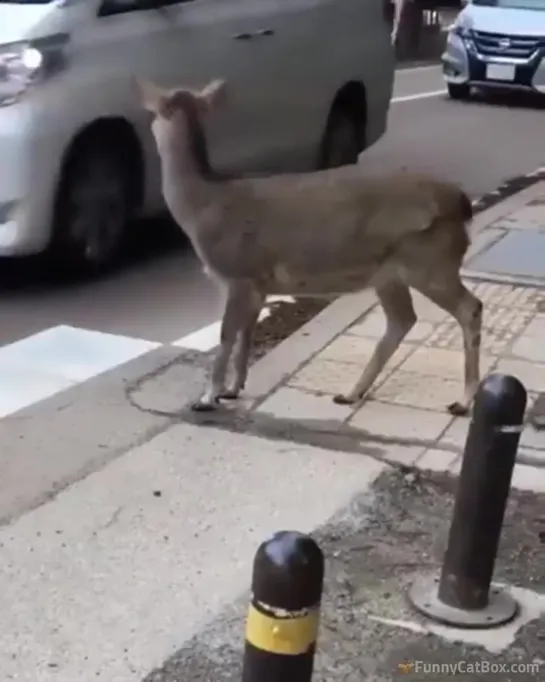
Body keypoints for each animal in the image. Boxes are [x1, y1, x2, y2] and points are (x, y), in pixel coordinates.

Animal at [138, 77, 482, 412]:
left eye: (153, 114)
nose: (148, 126)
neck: (202, 208)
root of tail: (461, 203)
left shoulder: (238, 271)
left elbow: (225, 336)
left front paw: (208, 397)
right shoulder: (258, 284)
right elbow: (246, 335)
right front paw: (234, 389)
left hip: (430, 261)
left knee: (469, 308)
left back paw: (464, 400)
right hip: (390, 273)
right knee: (402, 319)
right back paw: (350, 393)